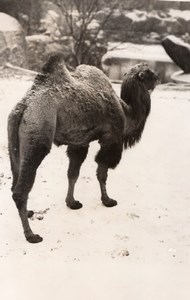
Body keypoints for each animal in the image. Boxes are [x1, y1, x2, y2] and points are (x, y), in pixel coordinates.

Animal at [7, 52, 159, 243]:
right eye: (149, 73)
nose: (158, 78)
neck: (126, 111)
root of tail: (23, 107)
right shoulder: (111, 139)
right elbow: (102, 173)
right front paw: (107, 200)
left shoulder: (80, 142)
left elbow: (73, 173)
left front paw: (72, 203)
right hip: (38, 135)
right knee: (21, 189)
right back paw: (31, 235)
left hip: (13, 143)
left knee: (15, 181)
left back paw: (28, 213)